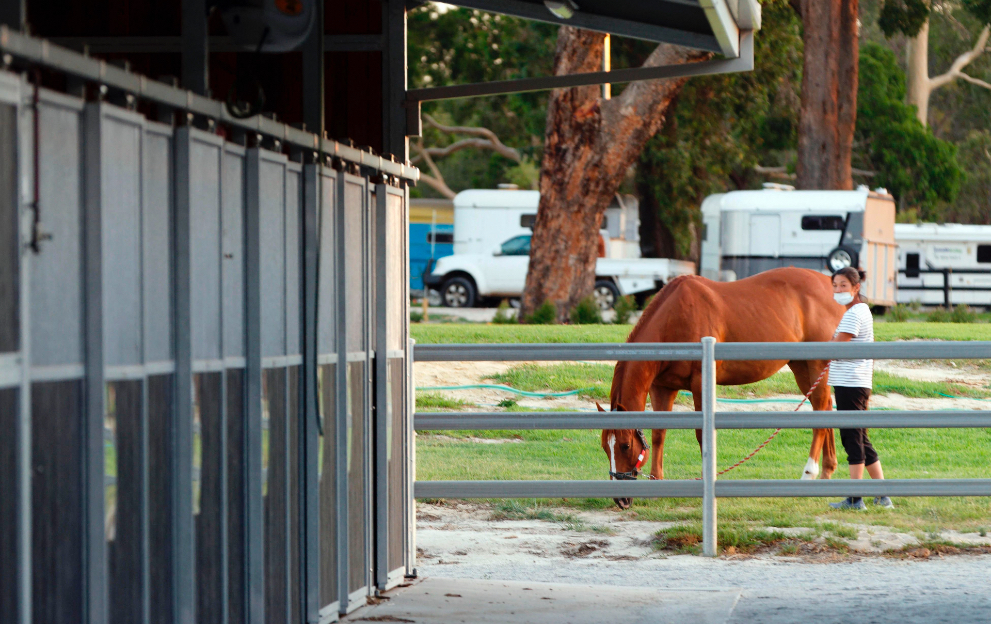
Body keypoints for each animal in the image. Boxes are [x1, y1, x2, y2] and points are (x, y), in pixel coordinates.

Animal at [600, 267, 845, 509]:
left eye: (625, 446)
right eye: (604, 446)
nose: (620, 500)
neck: (674, 318)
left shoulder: (699, 384)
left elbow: (701, 435)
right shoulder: (662, 388)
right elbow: (659, 434)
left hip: (816, 364)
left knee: (821, 407)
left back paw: (810, 473)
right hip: (802, 368)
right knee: (824, 407)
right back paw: (827, 472)